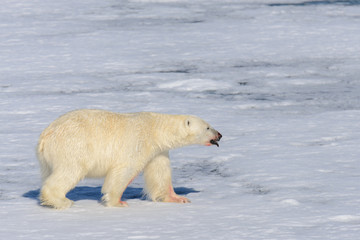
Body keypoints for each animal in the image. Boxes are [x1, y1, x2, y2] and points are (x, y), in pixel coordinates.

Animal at [37, 109, 222, 209]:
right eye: (207, 127)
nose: (219, 134)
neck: (156, 129)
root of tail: (45, 136)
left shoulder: (157, 151)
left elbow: (159, 174)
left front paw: (178, 198)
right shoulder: (137, 143)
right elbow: (123, 171)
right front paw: (118, 202)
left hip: (48, 159)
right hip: (73, 147)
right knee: (71, 170)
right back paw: (61, 201)